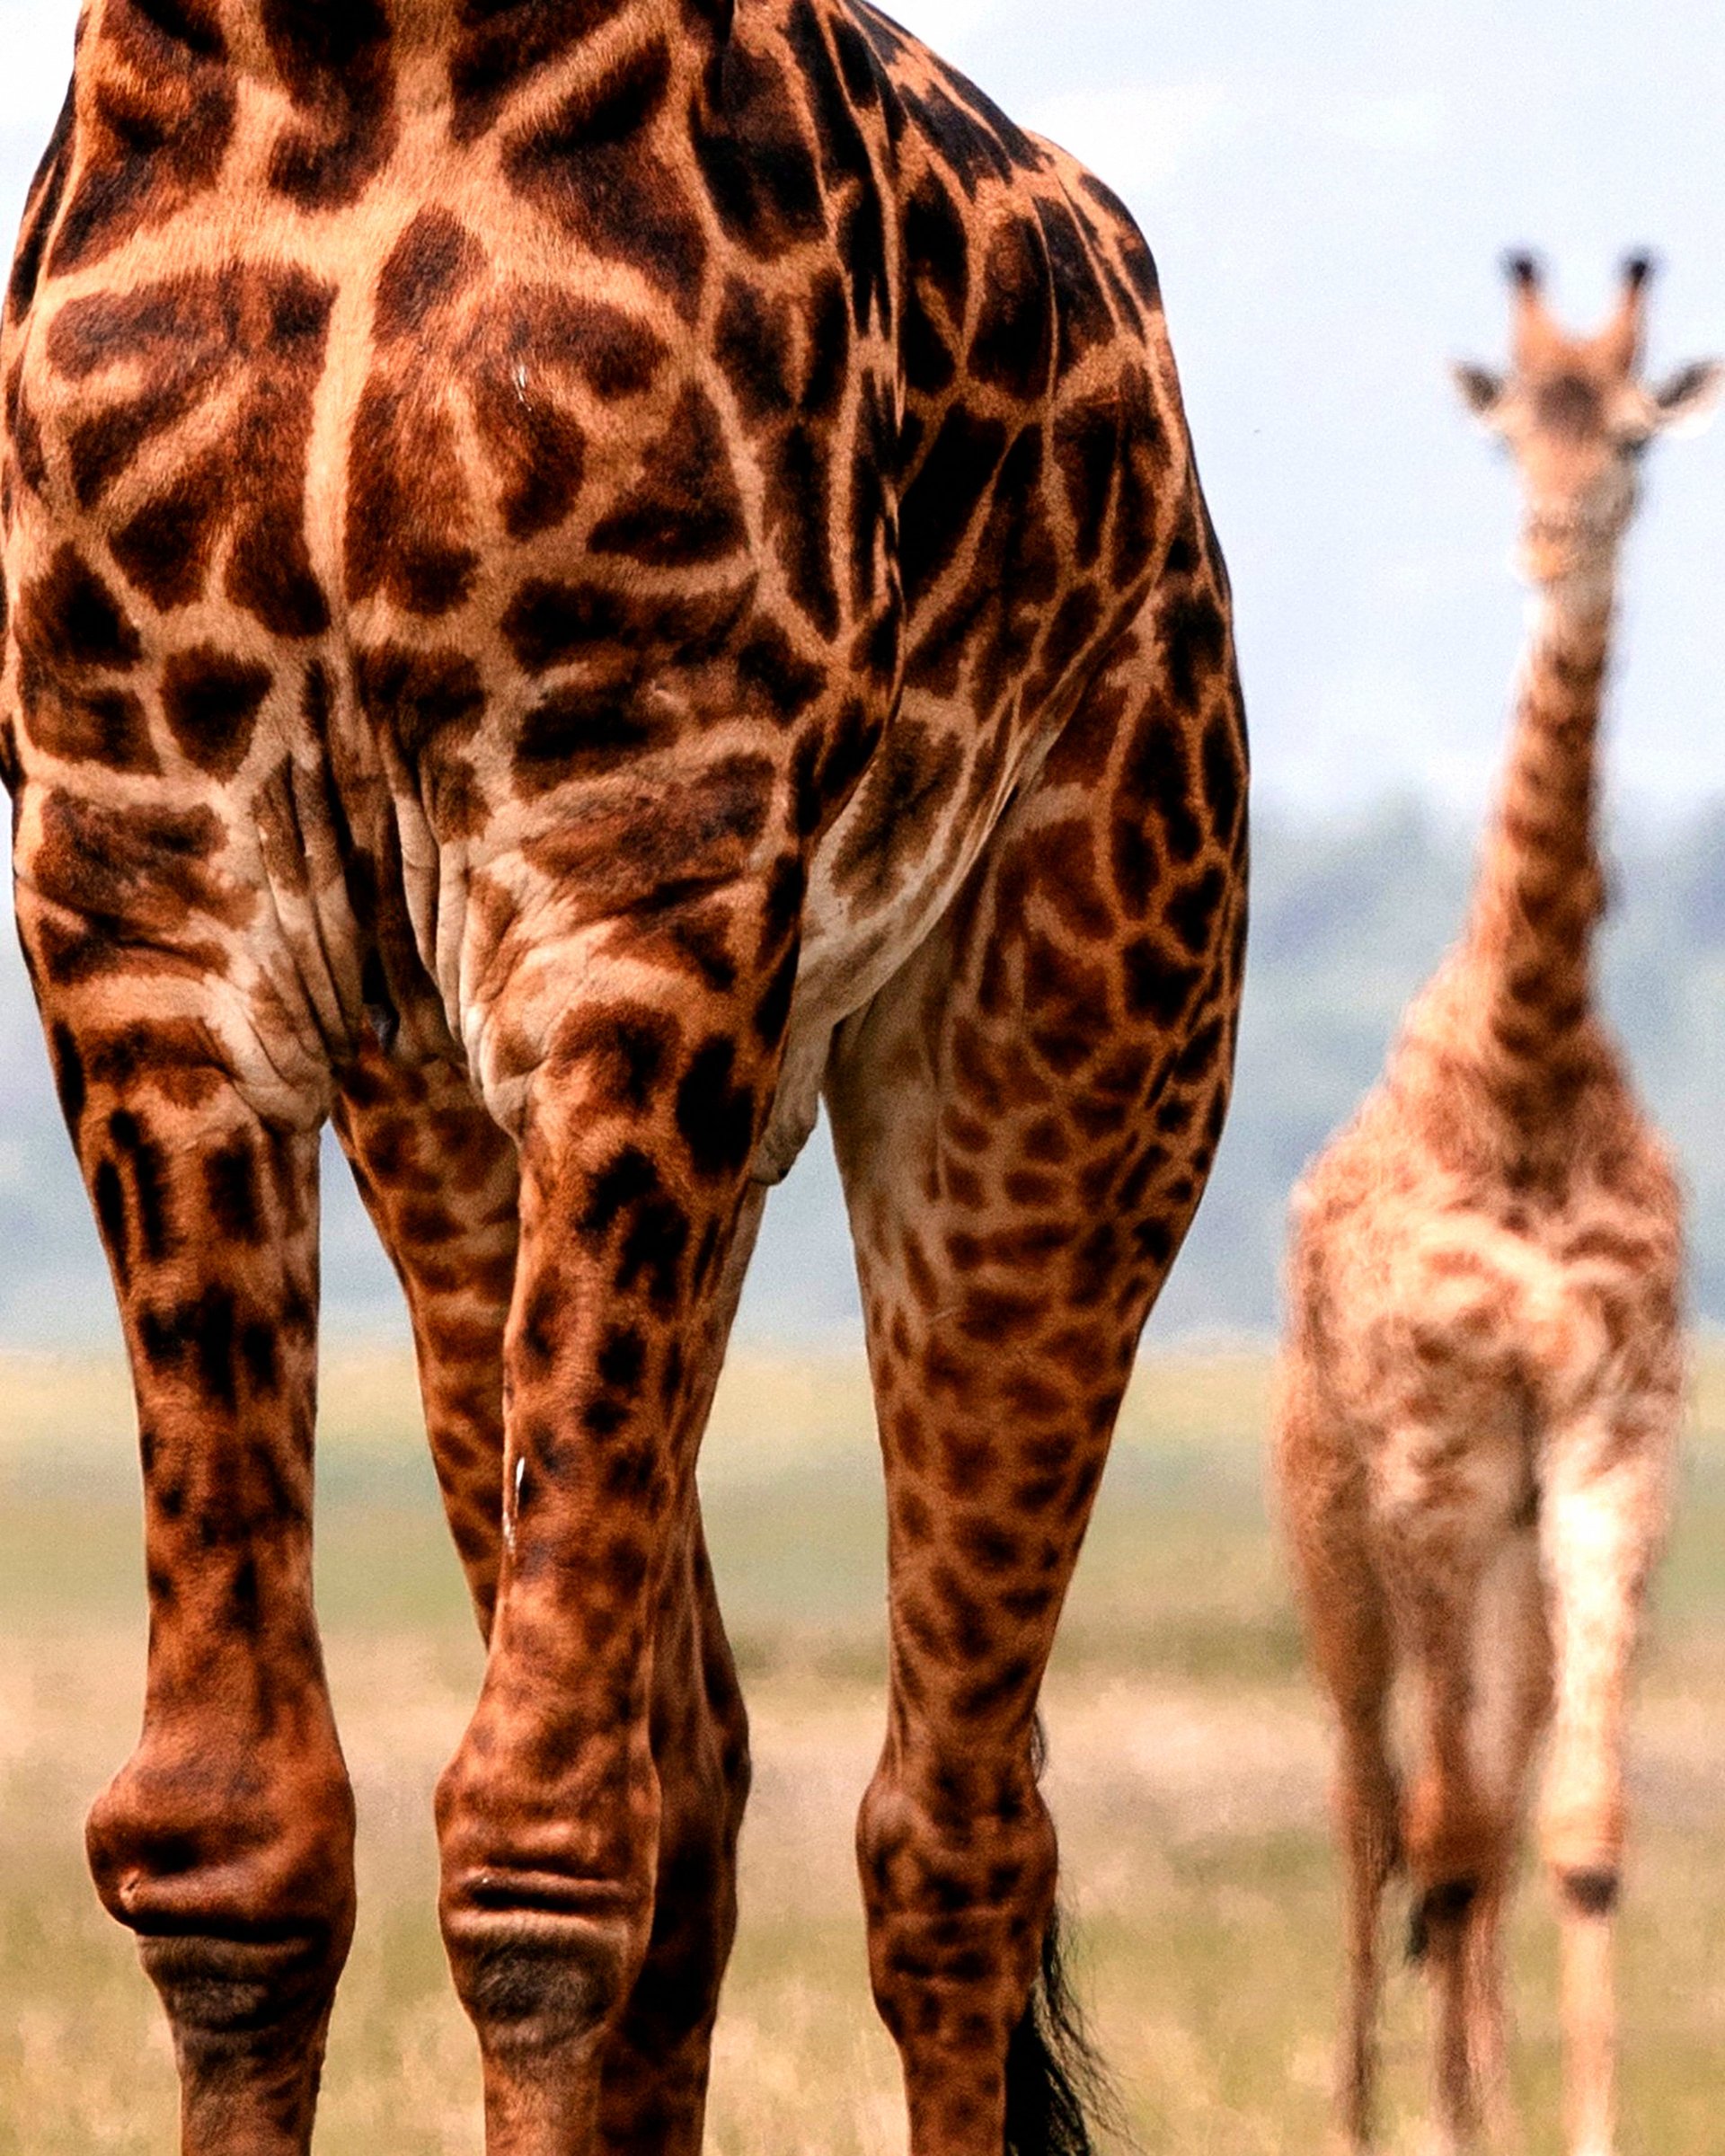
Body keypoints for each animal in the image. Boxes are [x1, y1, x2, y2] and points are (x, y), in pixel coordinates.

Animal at [0, 4, 1249, 2153]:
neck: (335, 70)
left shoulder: (645, 872)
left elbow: (542, 1842)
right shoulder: (144, 896)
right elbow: (231, 1844)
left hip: (1080, 1048)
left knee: (954, 1839)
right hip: (475, 1135)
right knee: (712, 1764)